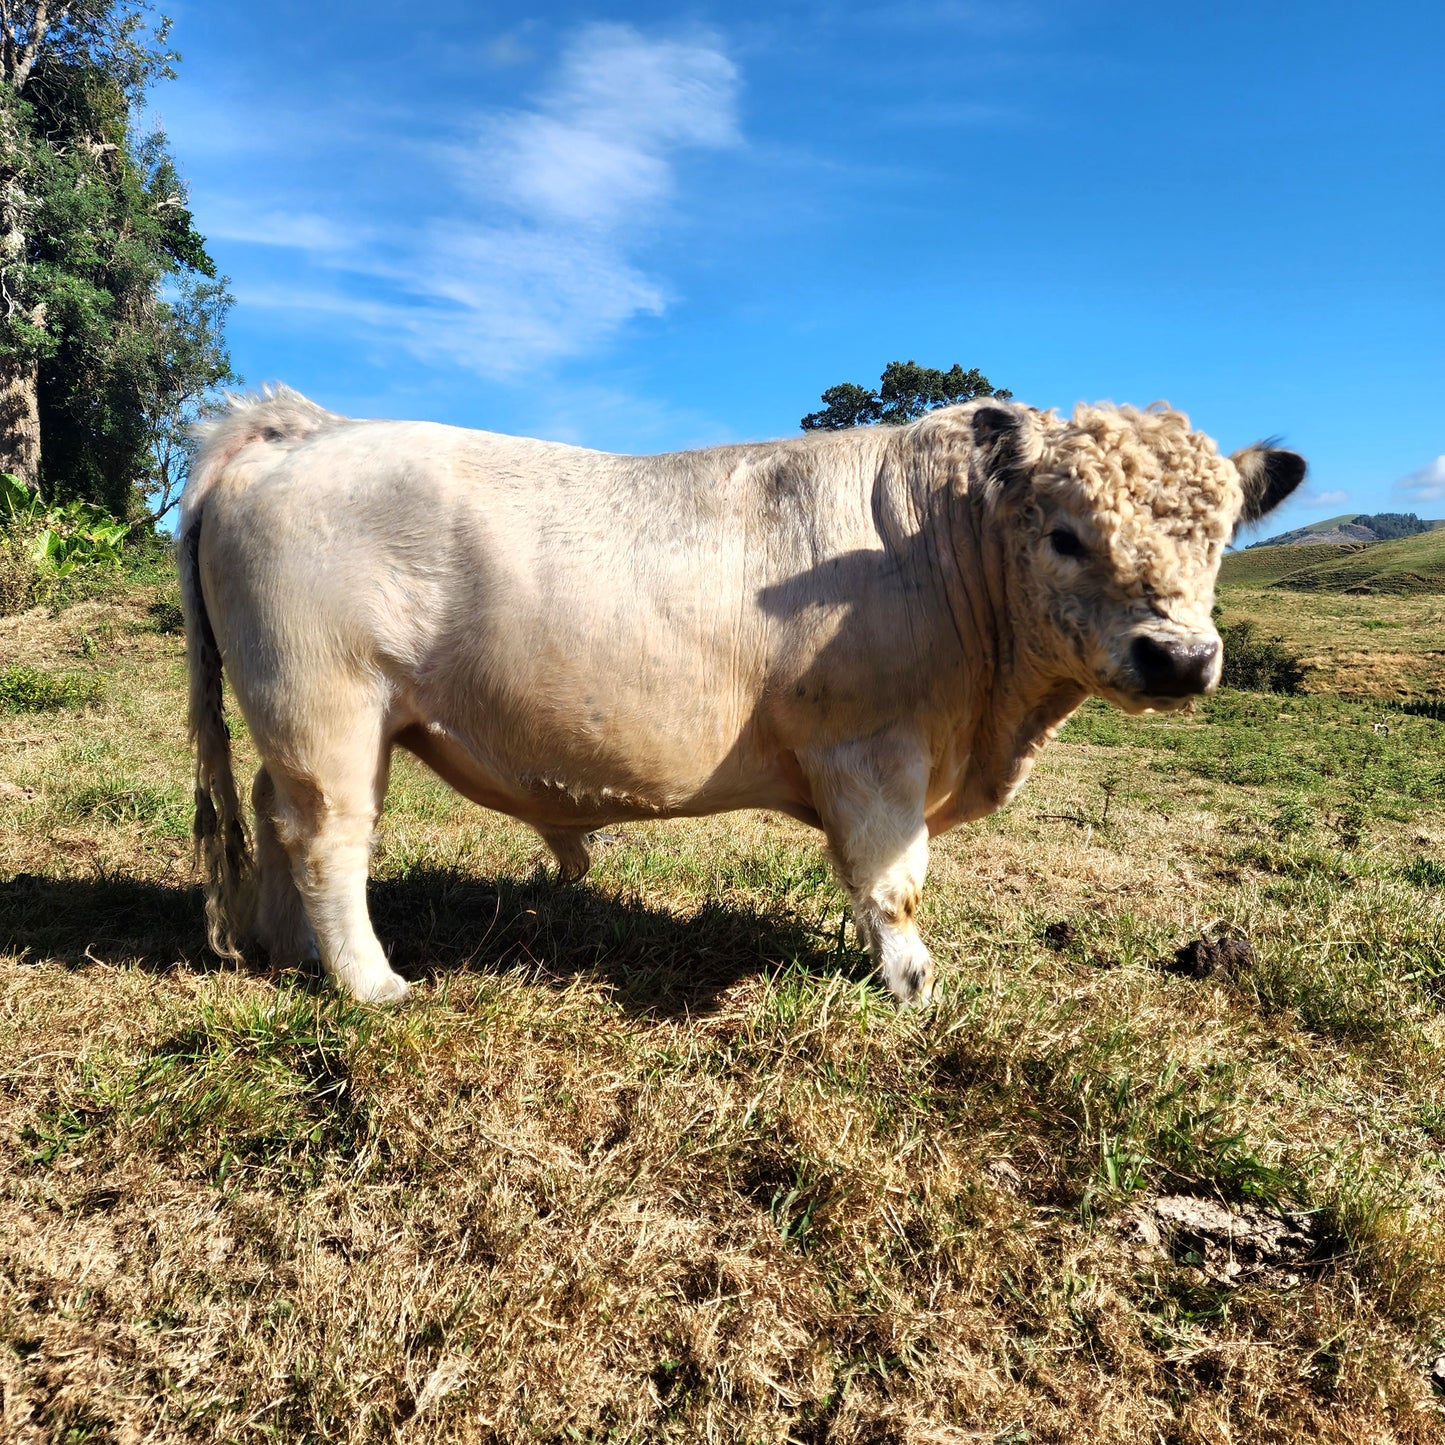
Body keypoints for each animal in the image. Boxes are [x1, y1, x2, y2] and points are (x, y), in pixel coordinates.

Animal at [174, 395, 1306, 1005]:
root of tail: (296, 427)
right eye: (1066, 534)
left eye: (1219, 538)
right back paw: (371, 983)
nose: (1178, 656)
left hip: (298, 723)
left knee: (274, 824)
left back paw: (285, 951)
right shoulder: (872, 750)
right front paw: (909, 981)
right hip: (327, 708)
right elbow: (890, 879)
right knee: (329, 839)